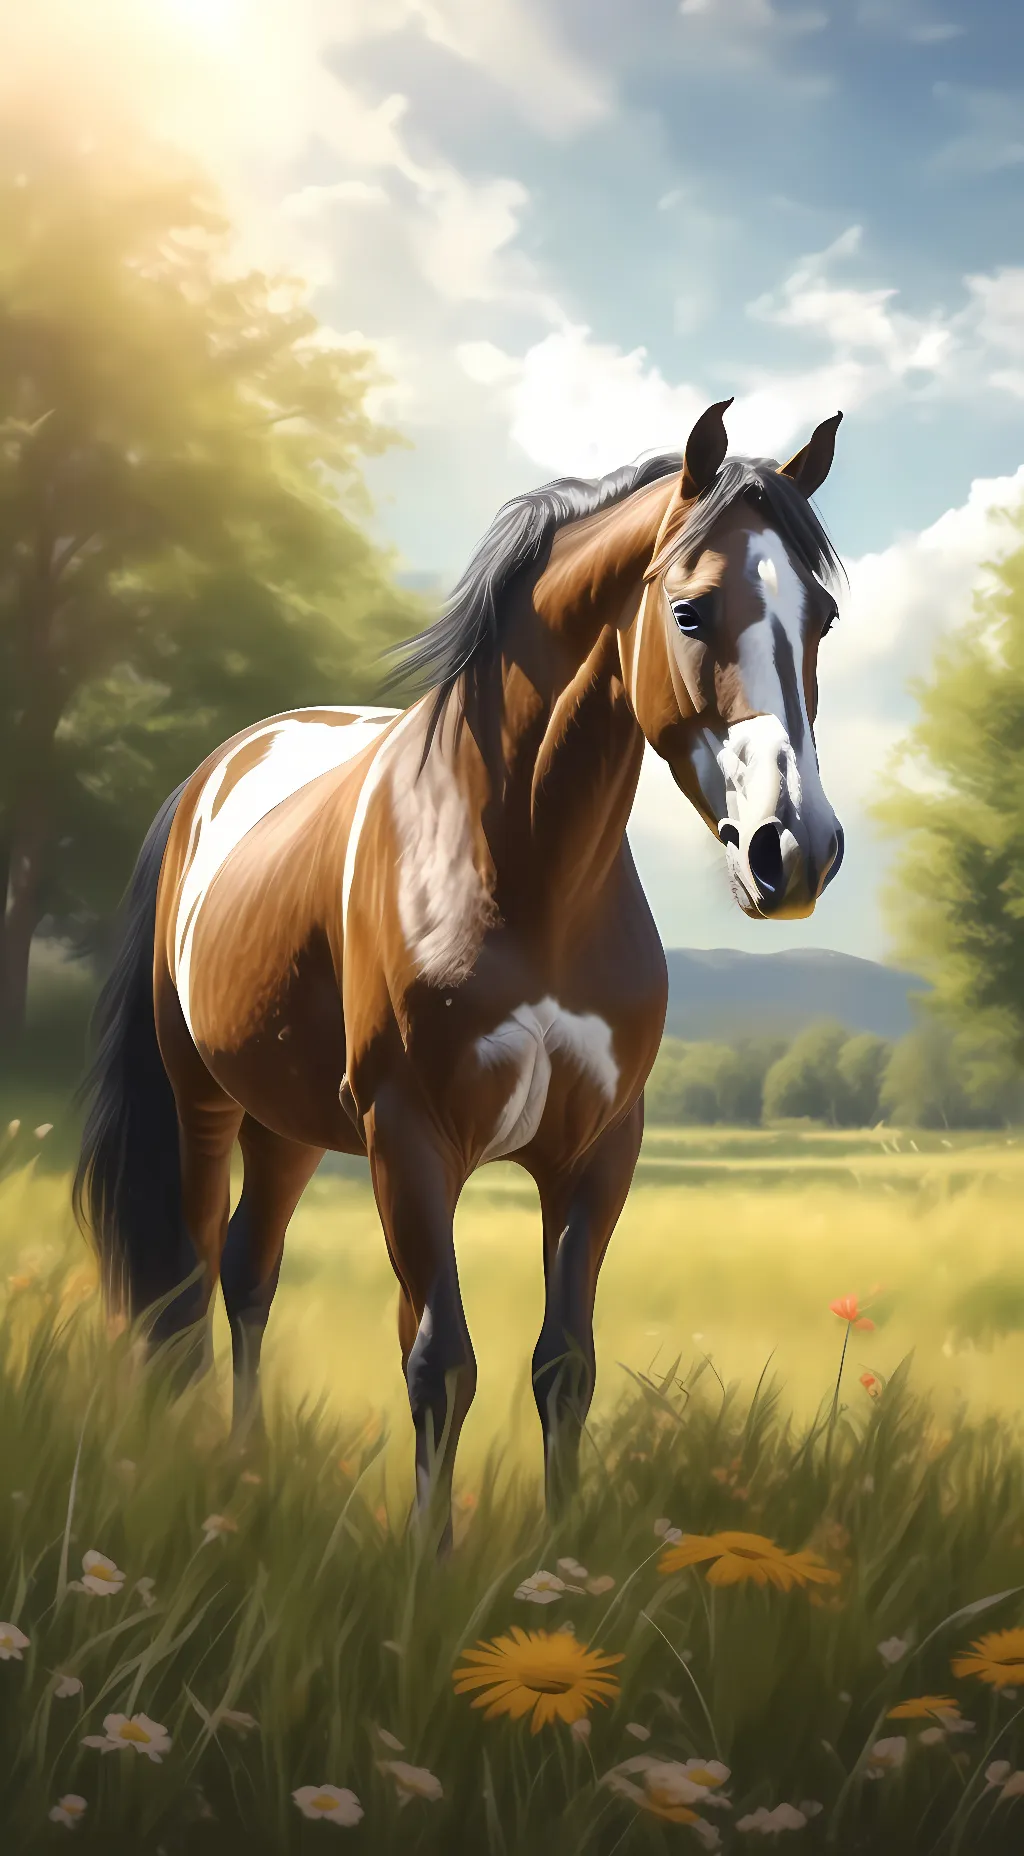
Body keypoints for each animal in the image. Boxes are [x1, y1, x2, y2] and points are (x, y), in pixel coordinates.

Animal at [74, 398, 845, 1538]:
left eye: (823, 617)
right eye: (693, 612)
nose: (793, 850)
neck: (520, 870)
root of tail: (215, 773)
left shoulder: (598, 1148)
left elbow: (563, 1363)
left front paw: (563, 1556)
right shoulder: (411, 1137)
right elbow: (440, 1363)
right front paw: (427, 1570)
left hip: (287, 1119)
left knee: (250, 1271)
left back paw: (249, 1469)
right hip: (201, 1101)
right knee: (188, 1280)